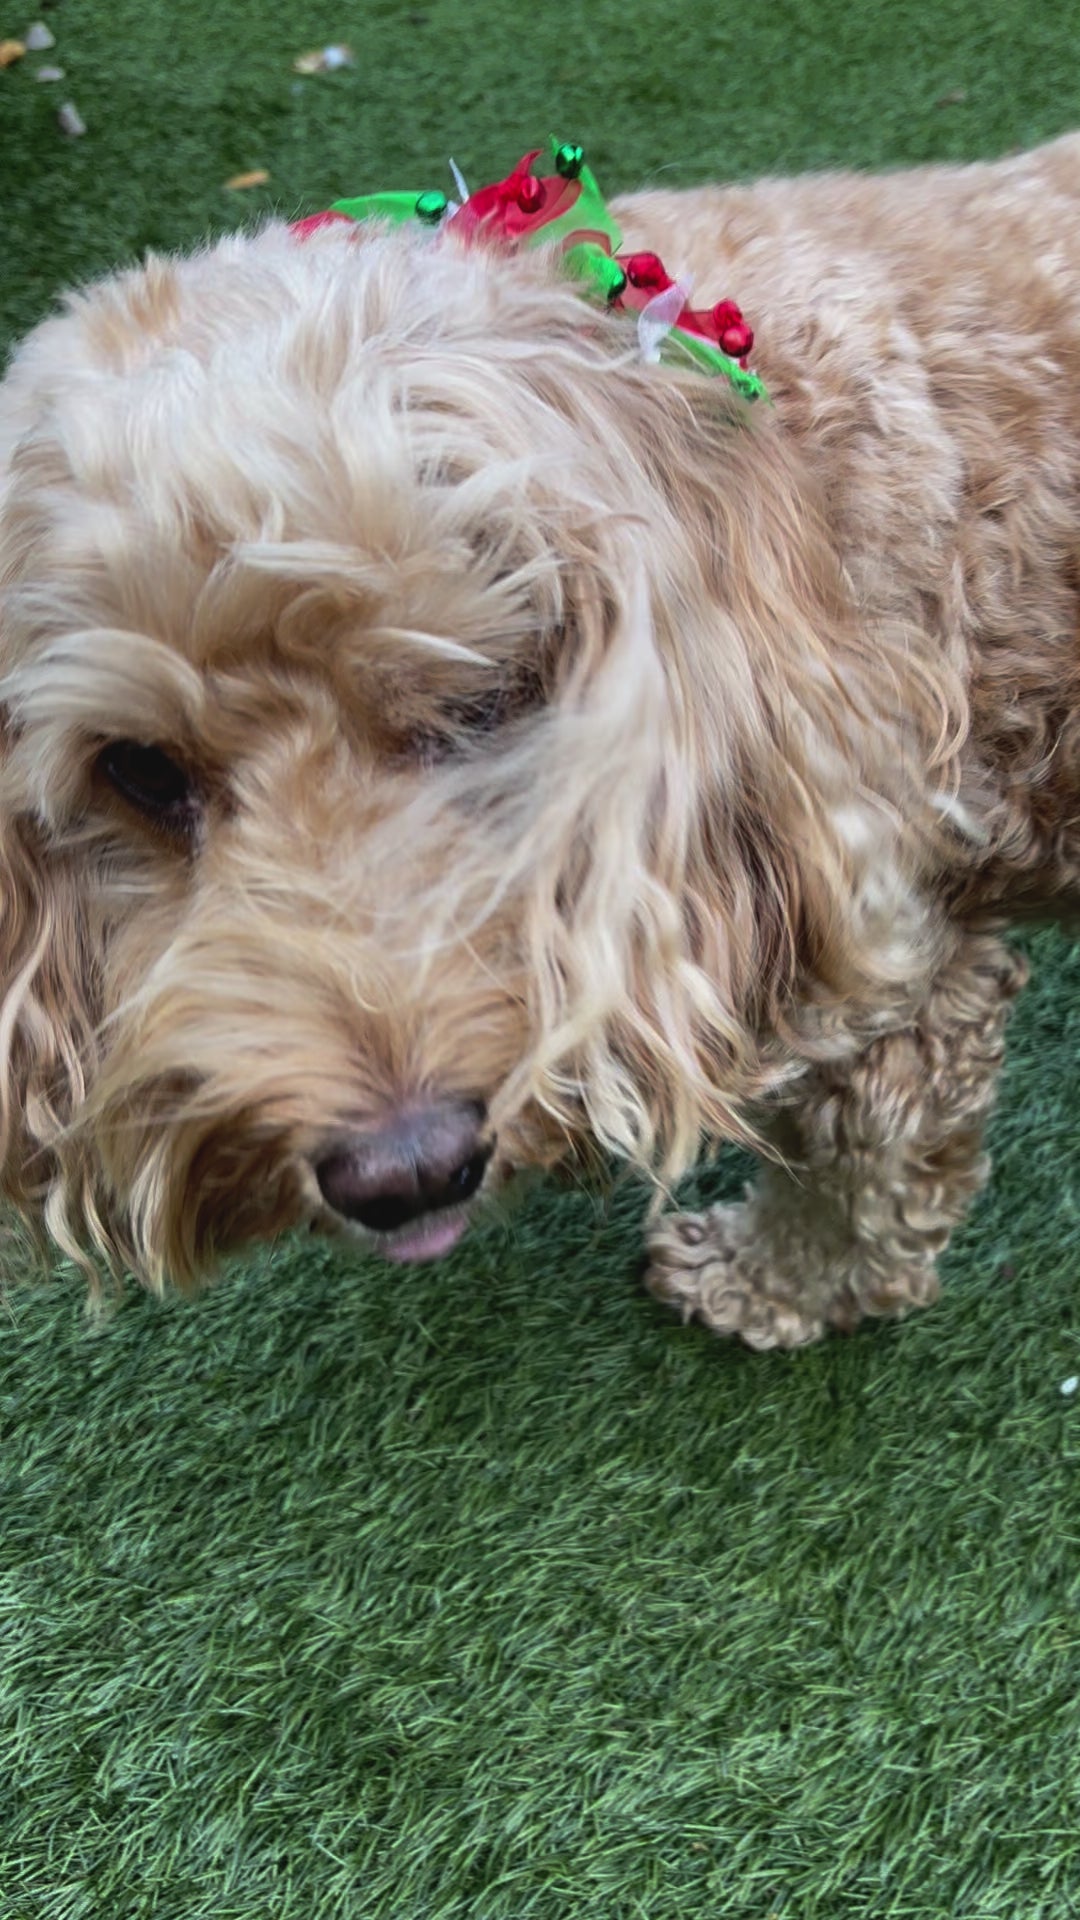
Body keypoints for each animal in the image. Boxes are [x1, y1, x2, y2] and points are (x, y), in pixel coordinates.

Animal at [2, 131, 1076, 1351]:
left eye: (480, 700)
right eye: (137, 770)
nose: (407, 1172)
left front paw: (773, 1284)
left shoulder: (890, 958)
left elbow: (861, 1171)